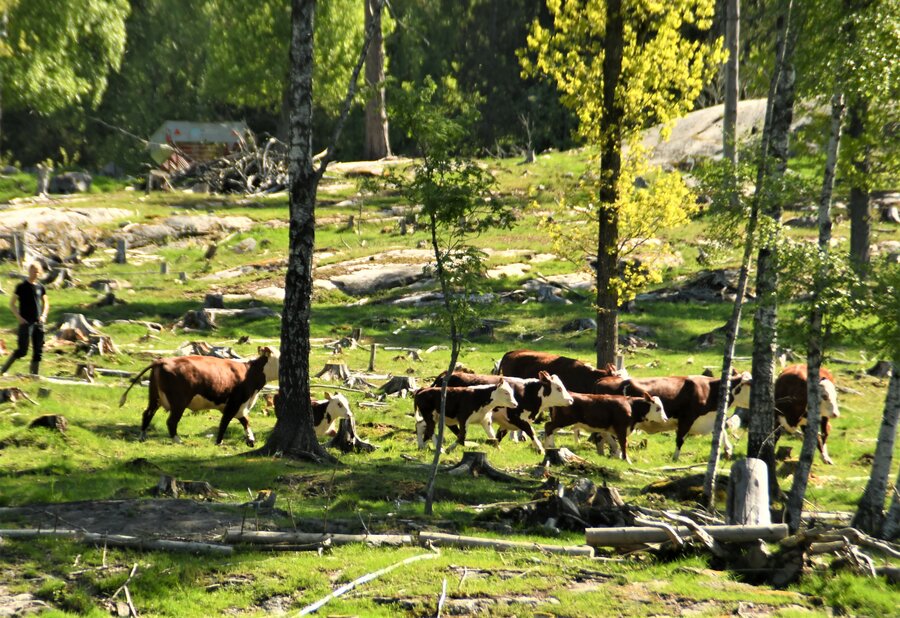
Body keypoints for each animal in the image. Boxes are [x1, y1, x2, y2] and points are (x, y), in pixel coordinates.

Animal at [119, 346, 280, 442]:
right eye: (280, 358)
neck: (250, 372)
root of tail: (162, 361)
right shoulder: (234, 402)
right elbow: (225, 422)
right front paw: (219, 442)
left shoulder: (240, 405)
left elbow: (245, 420)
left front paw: (250, 439)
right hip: (179, 401)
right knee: (171, 421)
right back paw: (177, 440)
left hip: (155, 396)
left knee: (147, 413)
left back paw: (142, 436)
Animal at [436, 368, 576, 450]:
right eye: (558, 388)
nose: (571, 400)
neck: (527, 392)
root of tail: (444, 376)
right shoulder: (517, 418)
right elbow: (530, 431)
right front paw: (539, 448)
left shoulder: (505, 423)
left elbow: (498, 436)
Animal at [540, 392, 668, 460]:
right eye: (658, 408)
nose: (665, 419)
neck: (631, 407)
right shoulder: (621, 429)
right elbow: (623, 444)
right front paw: (625, 459)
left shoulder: (606, 430)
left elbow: (613, 444)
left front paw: (614, 456)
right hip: (563, 420)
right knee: (548, 427)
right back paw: (549, 446)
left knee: (548, 427)